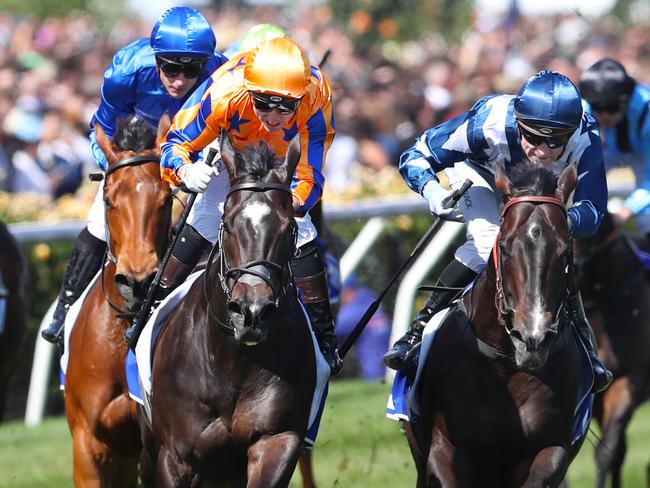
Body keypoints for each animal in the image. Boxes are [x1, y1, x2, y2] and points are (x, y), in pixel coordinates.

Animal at [146, 132, 318, 486]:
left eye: (288, 229)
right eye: (228, 223)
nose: (252, 311)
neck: (231, 362)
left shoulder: (277, 439)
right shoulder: (173, 456)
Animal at [402, 165, 584, 488]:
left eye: (565, 252)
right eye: (506, 247)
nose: (532, 338)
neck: (504, 368)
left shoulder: (551, 450)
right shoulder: (443, 449)